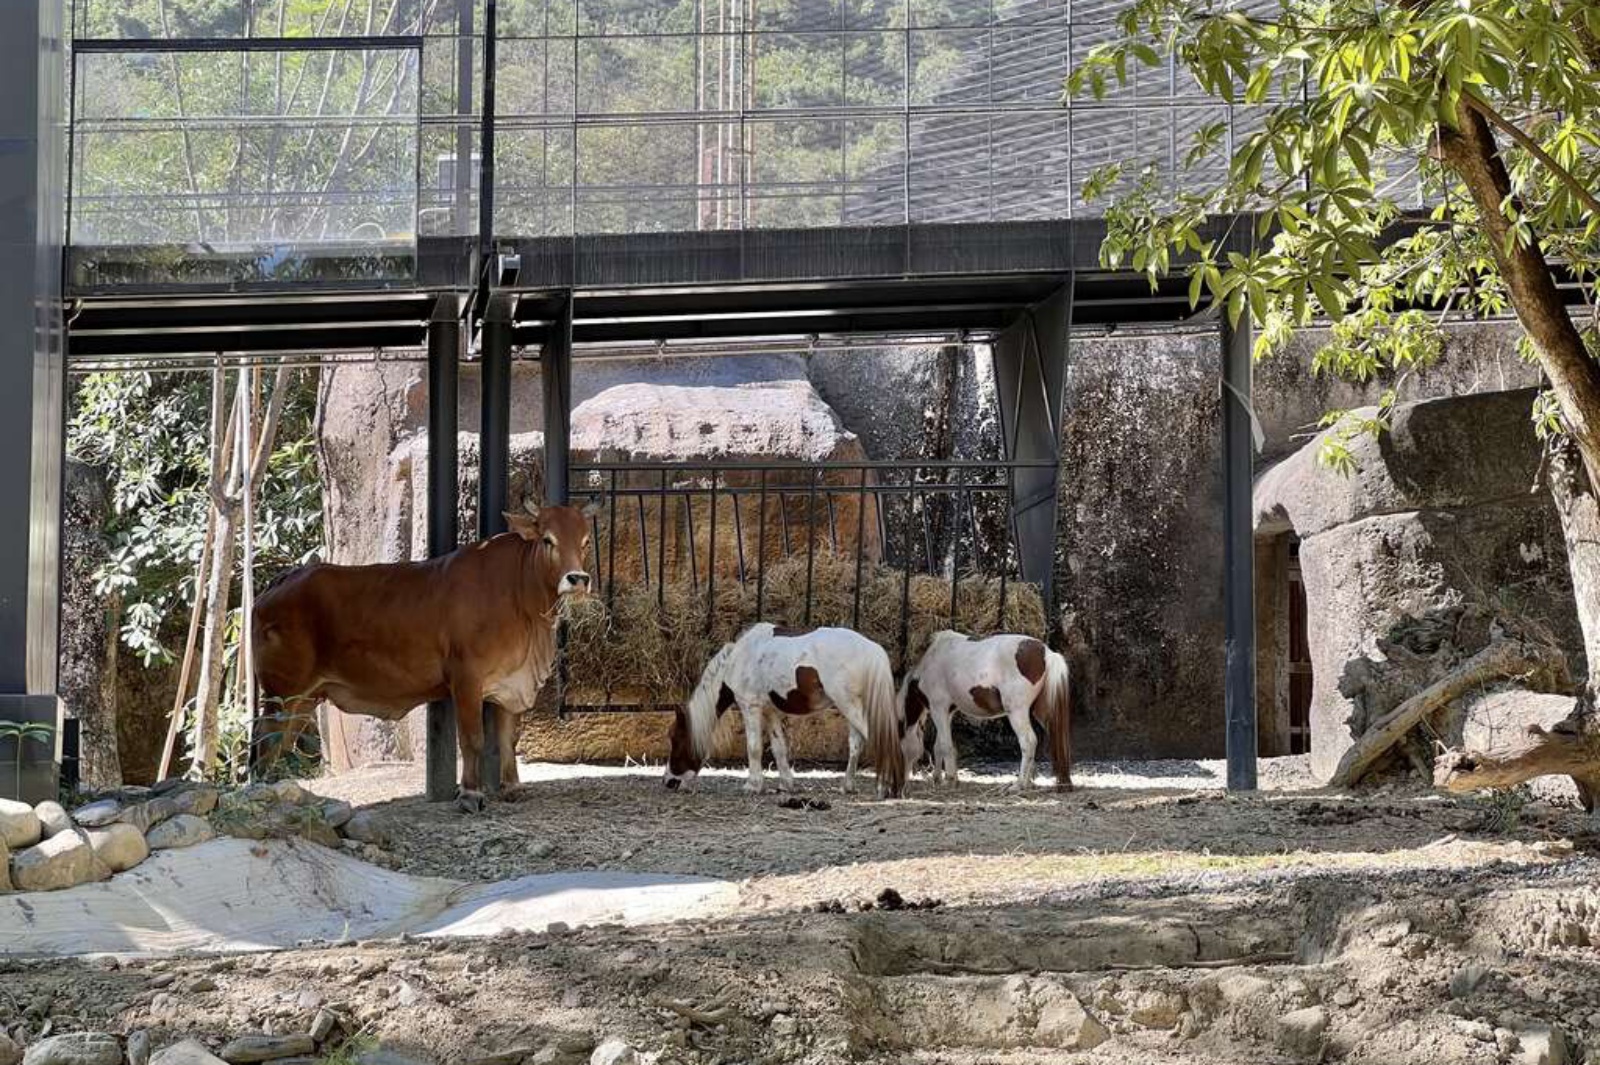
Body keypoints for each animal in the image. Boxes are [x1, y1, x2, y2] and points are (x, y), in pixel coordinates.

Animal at [249, 502, 595, 809]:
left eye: (585, 541)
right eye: (548, 539)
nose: (578, 579)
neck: (519, 594)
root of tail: (283, 579)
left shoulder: (511, 684)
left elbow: (508, 739)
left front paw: (512, 787)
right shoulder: (467, 679)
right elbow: (473, 739)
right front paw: (470, 794)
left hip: (305, 698)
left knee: (281, 741)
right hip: (283, 693)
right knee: (266, 739)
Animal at [662, 623, 908, 796]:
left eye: (676, 738)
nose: (668, 781)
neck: (738, 658)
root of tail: (874, 650)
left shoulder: (750, 707)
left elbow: (753, 747)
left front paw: (753, 785)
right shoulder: (770, 712)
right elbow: (778, 747)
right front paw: (786, 784)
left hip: (850, 706)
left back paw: (887, 786)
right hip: (853, 708)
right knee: (857, 745)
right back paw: (849, 786)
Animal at [902, 630, 1075, 786]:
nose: (904, 778)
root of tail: (1046, 653)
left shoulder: (939, 709)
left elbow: (946, 745)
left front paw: (950, 780)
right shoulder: (946, 713)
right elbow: (939, 746)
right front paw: (938, 778)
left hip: (1017, 712)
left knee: (1028, 741)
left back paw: (1020, 784)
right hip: (1041, 713)